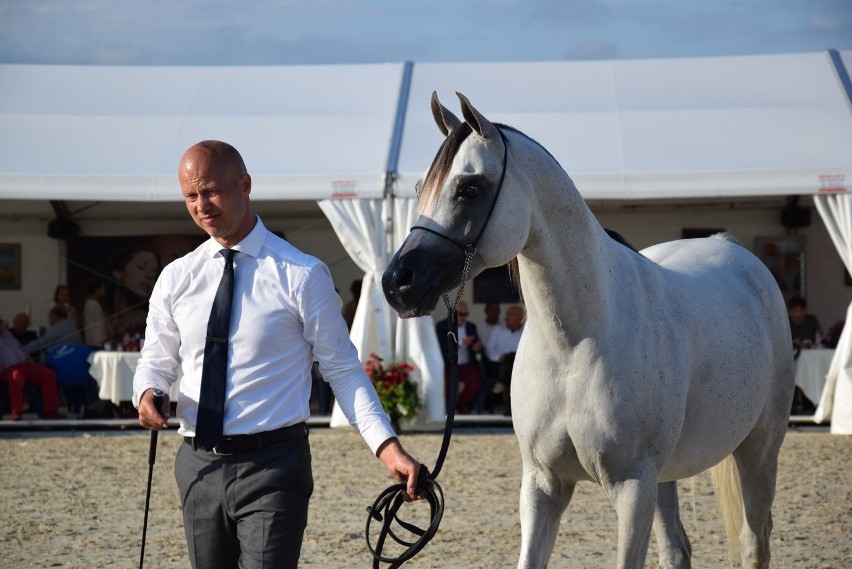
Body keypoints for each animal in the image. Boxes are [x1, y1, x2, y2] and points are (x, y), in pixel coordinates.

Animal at [382, 91, 796, 564]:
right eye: (419, 189)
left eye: (470, 188)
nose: (398, 283)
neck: (575, 344)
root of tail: (734, 250)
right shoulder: (543, 485)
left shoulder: (633, 488)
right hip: (665, 475)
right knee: (677, 550)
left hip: (757, 453)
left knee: (753, 540)